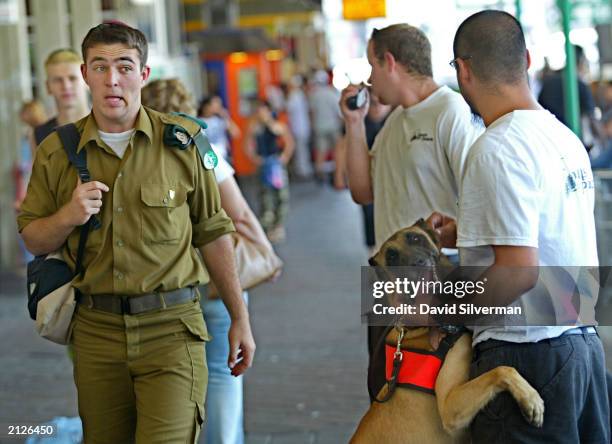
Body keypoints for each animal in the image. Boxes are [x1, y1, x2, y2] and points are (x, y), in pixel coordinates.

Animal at [352, 221, 544, 444]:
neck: (419, 328)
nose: (418, 264)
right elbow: (502, 370)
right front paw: (530, 398)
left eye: (415, 238)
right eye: (391, 257)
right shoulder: (449, 408)